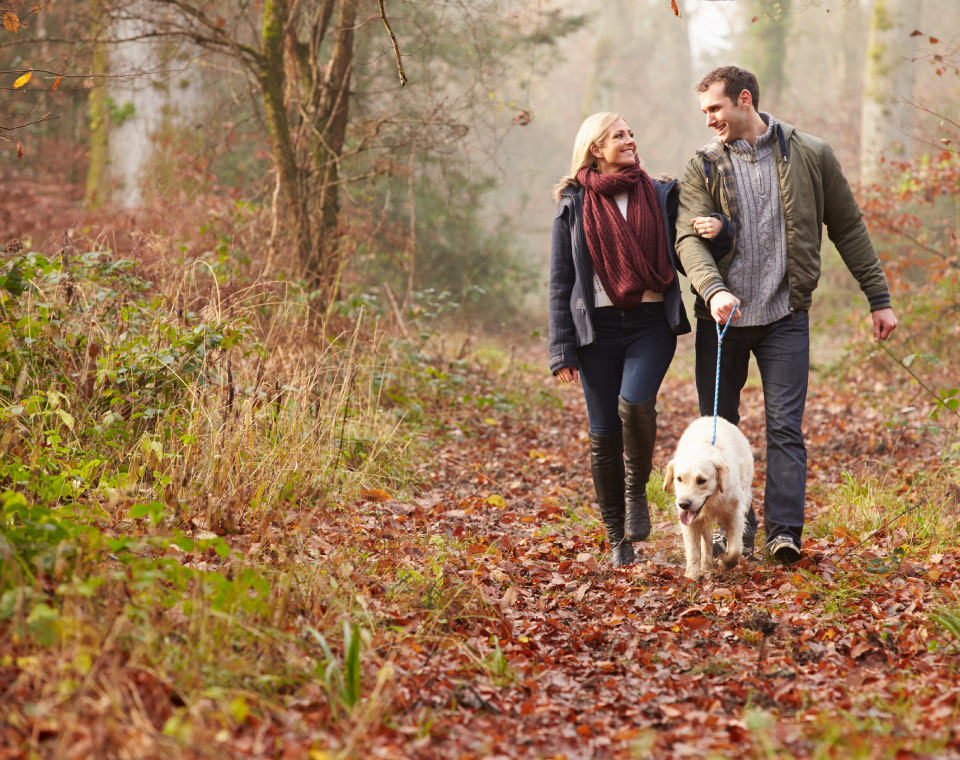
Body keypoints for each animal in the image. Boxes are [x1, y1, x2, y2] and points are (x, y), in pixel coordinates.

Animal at [664, 418, 752, 580]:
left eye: (701, 480)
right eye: (679, 478)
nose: (683, 504)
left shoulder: (735, 512)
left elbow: (735, 550)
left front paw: (725, 561)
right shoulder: (690, 522)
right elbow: (693, 550)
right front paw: (691, 575)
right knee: (707, 540)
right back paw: (706, 567)